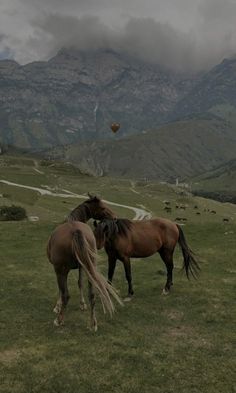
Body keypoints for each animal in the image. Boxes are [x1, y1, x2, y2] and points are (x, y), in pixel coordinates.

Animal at [46, 194, 120, 330]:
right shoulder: (81, 266)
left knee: (66, 294)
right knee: (92, 294)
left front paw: (57, 306)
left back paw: (59, 320)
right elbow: (80, 283)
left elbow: (60, 290)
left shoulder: (58, 269)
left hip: (61, 270)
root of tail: (75, 231)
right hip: (89, 267)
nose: (115, 217)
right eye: (102, 207)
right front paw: (82, 304)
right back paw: (93, 323)